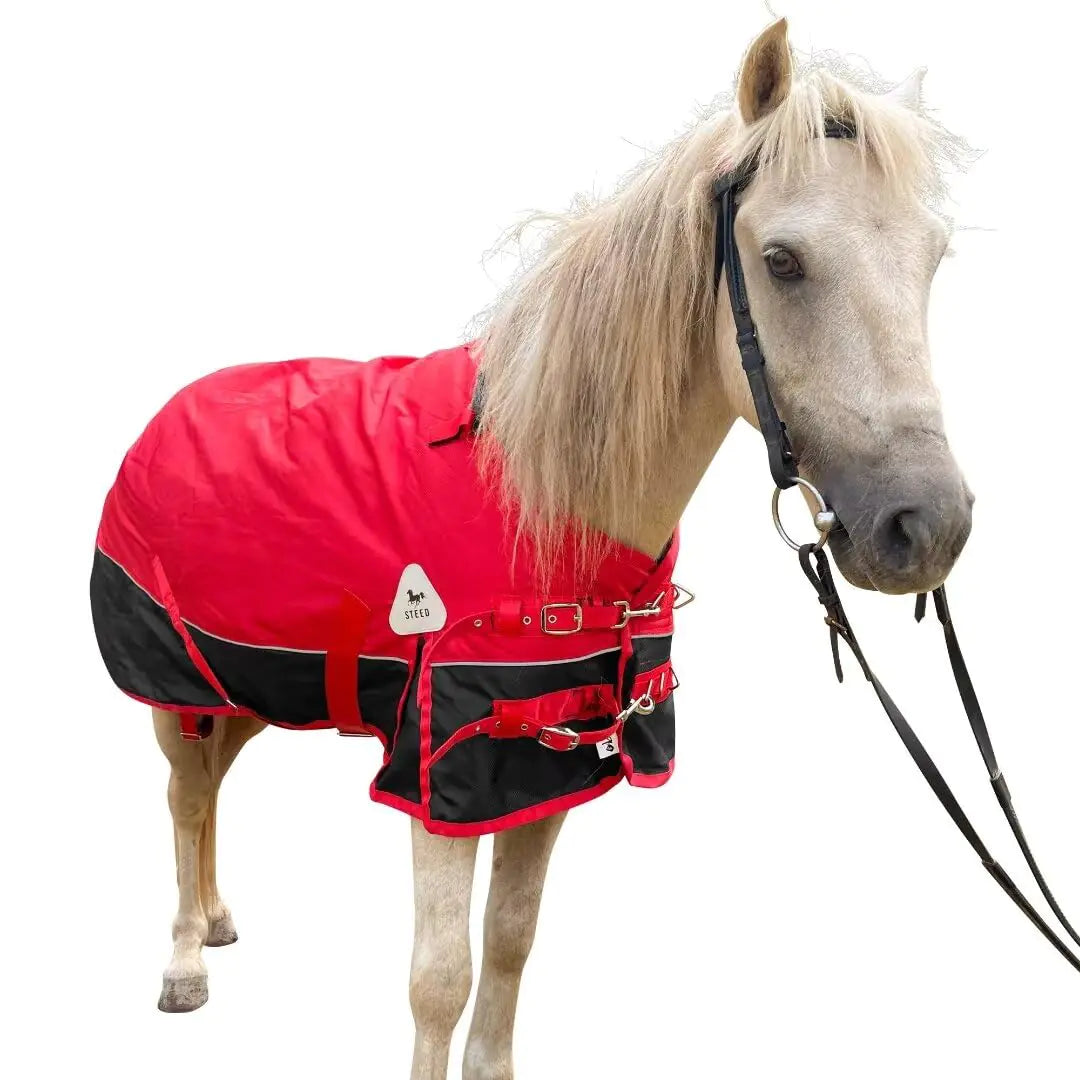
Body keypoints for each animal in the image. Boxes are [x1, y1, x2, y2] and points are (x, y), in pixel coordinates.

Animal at [91, 19, 974, 1080]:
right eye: (783, 259)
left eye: (934, 258)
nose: (928, 527)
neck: (544, 502)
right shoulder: (439, 775)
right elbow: (440, 978)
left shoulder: (546, 766)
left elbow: (512, 940)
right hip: (176, 692)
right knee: (185, 801)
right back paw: (186, 960)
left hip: (251, 684)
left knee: (215, 790)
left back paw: (218, 919)